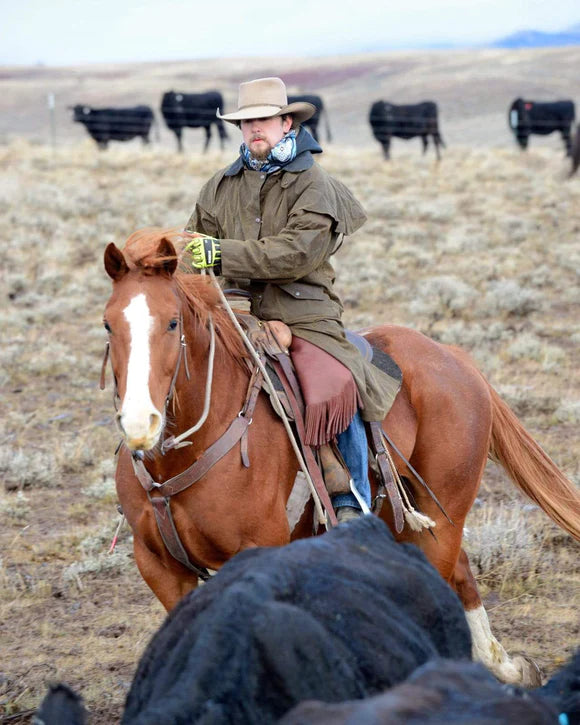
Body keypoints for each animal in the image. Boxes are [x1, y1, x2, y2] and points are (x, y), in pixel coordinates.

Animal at [104, 229, 580, 688]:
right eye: (108, 325)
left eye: (172, 322)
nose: (140, 422)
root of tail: (455, 358)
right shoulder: (159, 566)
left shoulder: (259, 550)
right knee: (457, 572)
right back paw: (505, 666)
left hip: (444, 514)